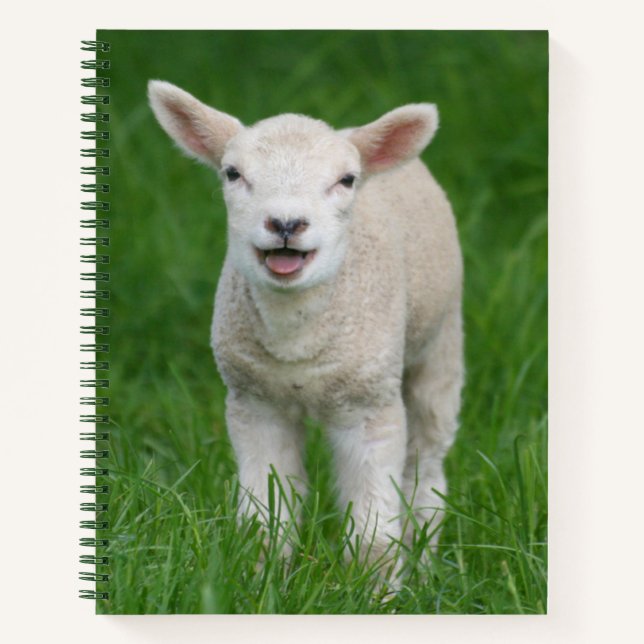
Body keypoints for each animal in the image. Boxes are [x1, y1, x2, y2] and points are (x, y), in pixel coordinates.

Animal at [148, 80, 464, 578]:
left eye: (346, 180)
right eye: (232, 173)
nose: (285, 223)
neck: (295, 342)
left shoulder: (370, 407)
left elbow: (374, 533)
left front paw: (374, 589)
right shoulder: (255, 403)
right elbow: (265, 519)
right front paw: (260, 579)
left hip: (441, 341)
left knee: (427, 464)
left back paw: (426, 561)